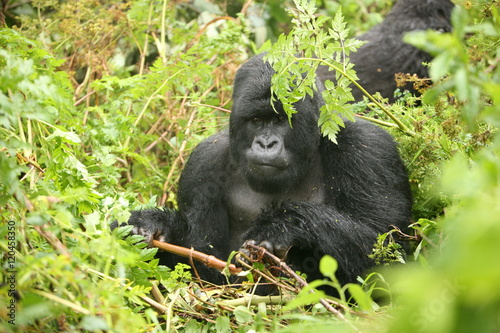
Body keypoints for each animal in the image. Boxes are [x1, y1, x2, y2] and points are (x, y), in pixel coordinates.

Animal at [119, 53, 412, 286]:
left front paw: (281, 227)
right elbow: (207, 265)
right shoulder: (203, 163)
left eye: (281, 119)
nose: (266, 143)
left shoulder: (368, 148)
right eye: (257, 120)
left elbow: (386, 251)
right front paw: (155, 225)